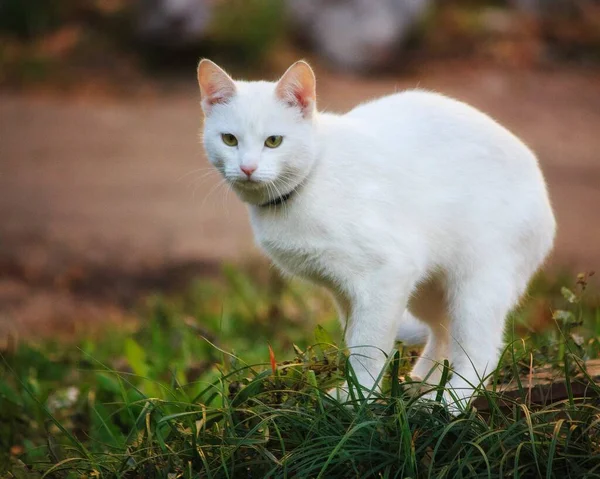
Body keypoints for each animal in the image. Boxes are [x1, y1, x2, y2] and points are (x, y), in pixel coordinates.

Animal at [198, 60, 556, 410]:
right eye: (229, 140)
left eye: (273, 141)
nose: (247, 168)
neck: (308, 183)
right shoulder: (346, 292)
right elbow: (356, 341)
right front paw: (354, 394)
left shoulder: (387, 274)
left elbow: (368, 349)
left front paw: (359, 400)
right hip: (428, 287)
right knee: (442, 334)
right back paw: (419, 385)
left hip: (476, 286)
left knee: (480, 353)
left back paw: (447, 402)